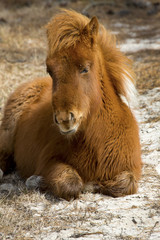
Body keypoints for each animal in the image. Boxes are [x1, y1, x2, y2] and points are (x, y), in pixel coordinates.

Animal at [0, 9, 141, 201]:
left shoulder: (130, 167)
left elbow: (124, 185)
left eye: (85, 68)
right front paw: (37, 181)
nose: (65, 119)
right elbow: (69, 183)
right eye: (50, 71)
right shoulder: (49, 161)